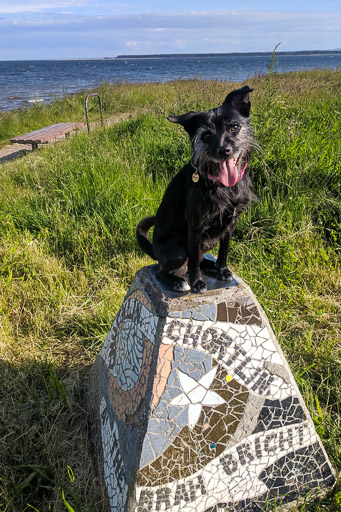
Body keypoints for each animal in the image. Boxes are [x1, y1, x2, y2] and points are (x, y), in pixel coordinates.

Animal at [135, 86, 255, 294]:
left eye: (234, 127)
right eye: (206, 136)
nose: (224, 150)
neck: (223, 186)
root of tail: (156, 253)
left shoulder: (231, 223)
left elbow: (223, 251)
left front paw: (222, 270)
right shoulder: (195, 227)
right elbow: (192, 263)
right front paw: (196, 282)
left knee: (198, 259)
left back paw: (210, 266)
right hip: (177, 246)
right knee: (162, 271)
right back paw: (177, 281)